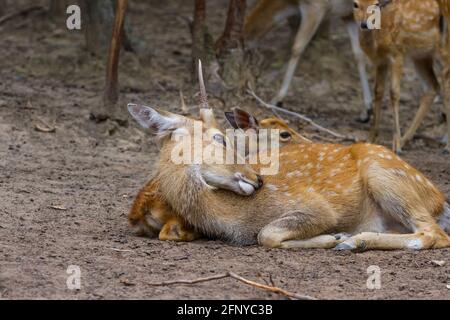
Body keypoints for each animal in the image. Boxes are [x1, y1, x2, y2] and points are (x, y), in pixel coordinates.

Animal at [244, 0, 374, 122]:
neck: (291, 3)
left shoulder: (314, 6)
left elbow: (297, 47)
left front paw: (277, 99)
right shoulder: (347, 15)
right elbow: (358, 54)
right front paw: (366, 111)